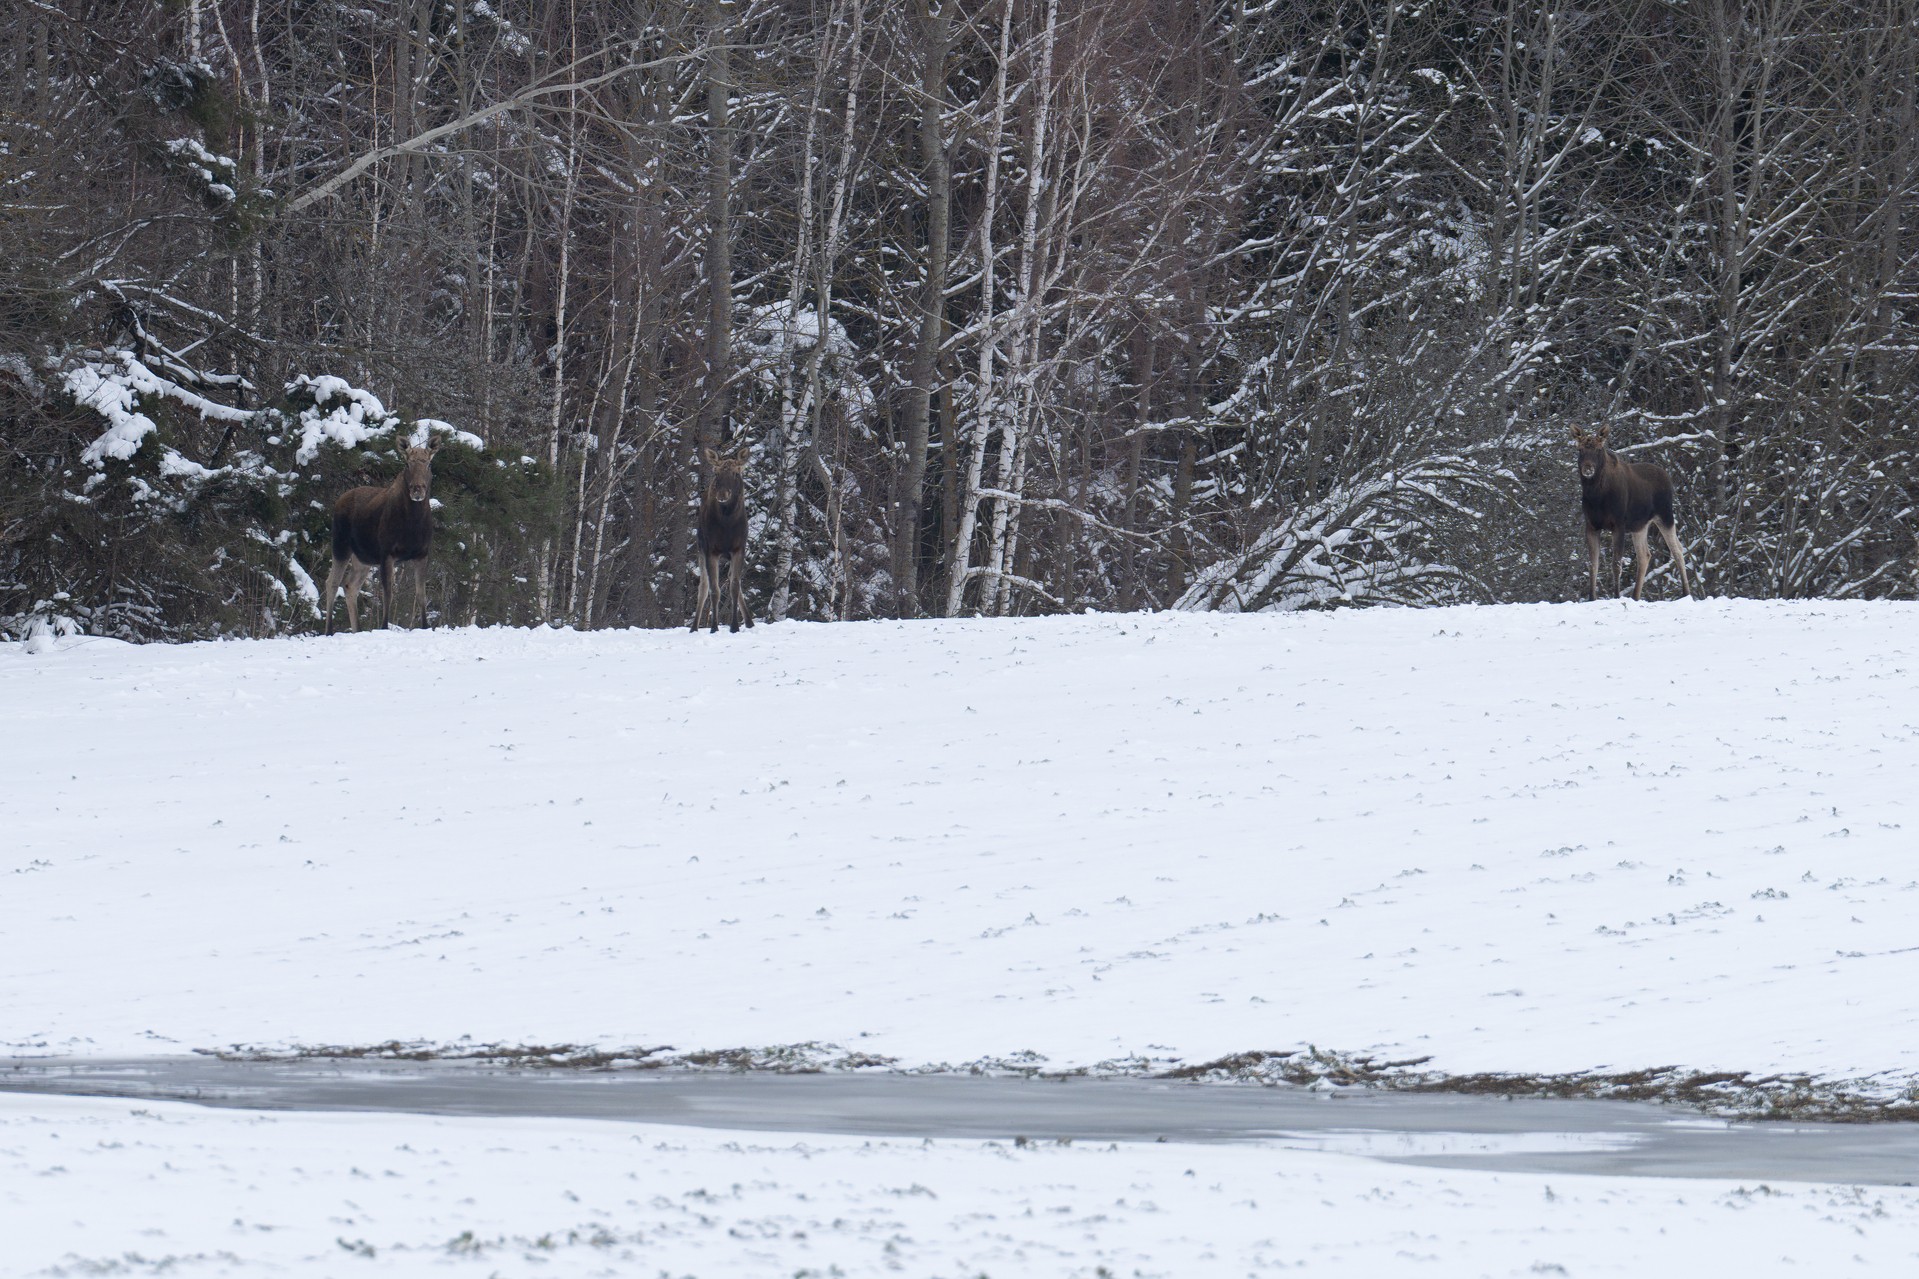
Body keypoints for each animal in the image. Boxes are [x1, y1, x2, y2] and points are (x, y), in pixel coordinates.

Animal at [326, 443, 439, 633]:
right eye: (407, 463)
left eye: (429, 464)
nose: (417, 489)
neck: (413, 524)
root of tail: (339, 500)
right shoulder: (387, 553)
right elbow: (388, 593)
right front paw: (384, 626)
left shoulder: (422, 553)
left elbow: (421, 594)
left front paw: (425, 627)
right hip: (340, 545)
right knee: (332, 582)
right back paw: (329, 630)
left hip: (362, 558)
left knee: (350, 585)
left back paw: (358, 629)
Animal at [690, 443, 748, 633]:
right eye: (716, 473)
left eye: (736, 473)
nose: (722, 494)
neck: (727, 524)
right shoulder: (711, 551)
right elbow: (714, 590)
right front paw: (714, 627)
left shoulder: (739, 548)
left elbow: (735, 587)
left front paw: (735, 626)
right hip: (700, 548)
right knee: (703, 586)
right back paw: (694, 628)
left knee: (732, 579)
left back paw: (750, 622)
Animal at [1573, 418, 1696, 599]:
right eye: (1580, 450)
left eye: (1598, 449)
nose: (1587, 469)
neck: (1596, 496)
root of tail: (1668, 477)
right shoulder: (1592, 525)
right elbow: (1592, 565)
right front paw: (1591, 598)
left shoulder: (1619, 524)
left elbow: (1616, 564)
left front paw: (1617, 596)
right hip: (1640, 526)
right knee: (1645, 555)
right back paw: (1635, 596)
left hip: (1665, 515)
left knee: (1677, 550)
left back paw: (1686, 593)